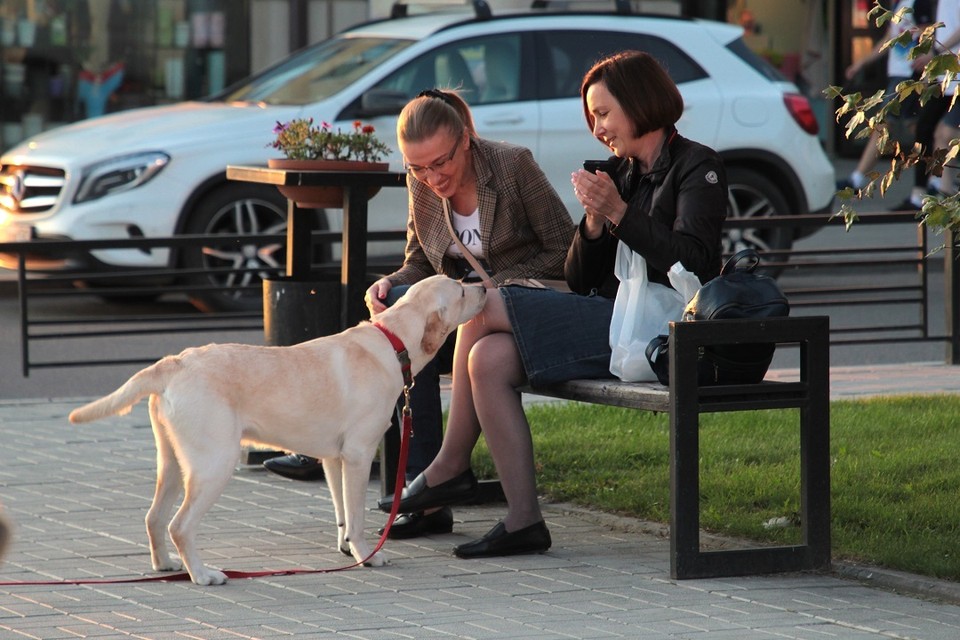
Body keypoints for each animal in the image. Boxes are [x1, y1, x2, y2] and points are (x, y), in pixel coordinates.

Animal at [70, 276, 484, 584]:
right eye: (461, 291)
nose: (482, 284)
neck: (392, 341)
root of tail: (174, 362)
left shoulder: (335, 458)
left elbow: (343, 511)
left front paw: (347, 548)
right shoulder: (359, 454)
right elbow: (357, 515)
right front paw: (367, 556)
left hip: (172, 461)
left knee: (154, 517)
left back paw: (167, 565)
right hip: (214, 463)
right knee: (179, 525)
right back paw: (203, 575)